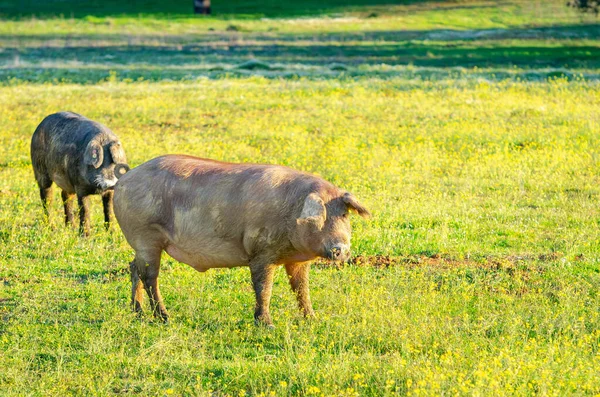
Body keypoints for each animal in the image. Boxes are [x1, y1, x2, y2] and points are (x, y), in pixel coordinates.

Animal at [110, 154, 368, 324]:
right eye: (320, 215)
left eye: (344, 214)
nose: (340, 249)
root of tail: (124, 179)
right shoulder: (260, 252)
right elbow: (264, 287)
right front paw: (267, 325)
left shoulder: (298, 261)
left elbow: (301, 288)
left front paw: (312, 319)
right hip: (145, 236)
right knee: (149, 276)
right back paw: (164, 317)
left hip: (140, 245)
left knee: (133, 267)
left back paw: (137, 312)